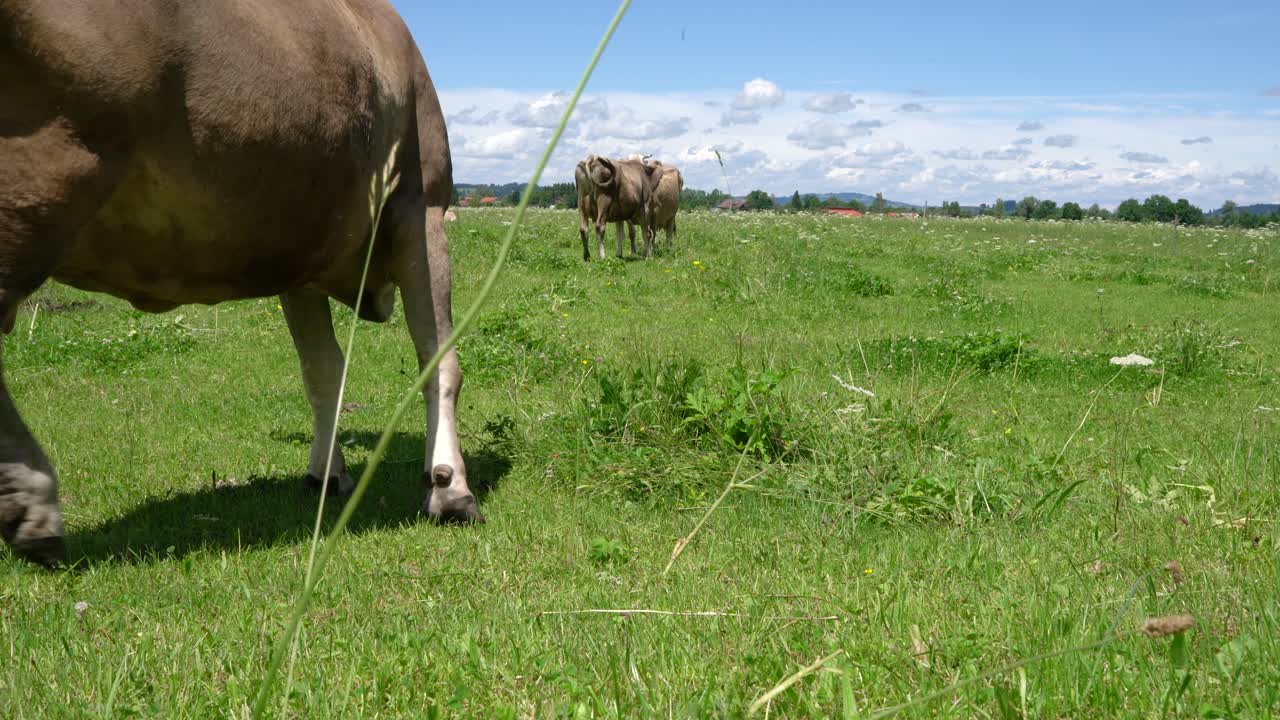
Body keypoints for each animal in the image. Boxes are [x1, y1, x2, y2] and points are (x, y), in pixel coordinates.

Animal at [0, 0, 483, 567]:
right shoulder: (421, 202)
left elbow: (326, 372)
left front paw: (330, 472)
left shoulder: (308, 251)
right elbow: (436, 357)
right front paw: (451, 488)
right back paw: (29, 498)